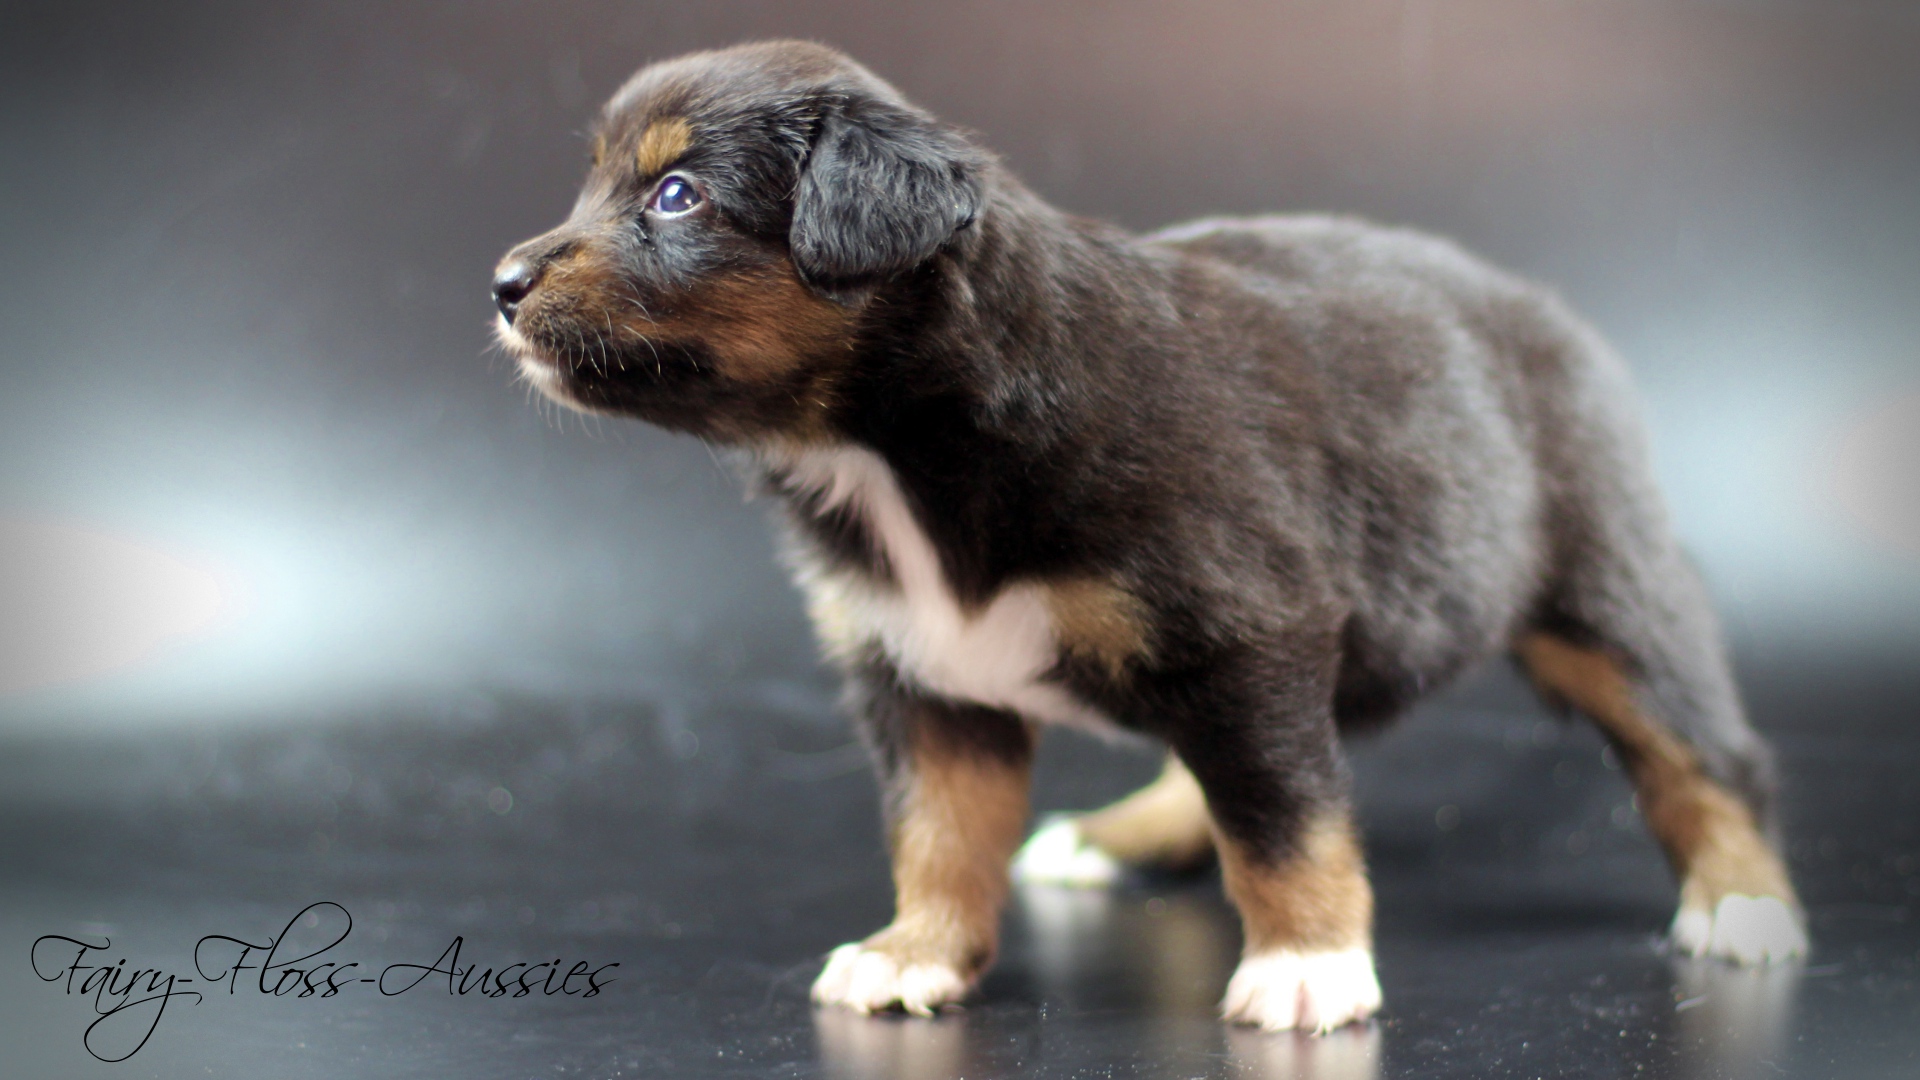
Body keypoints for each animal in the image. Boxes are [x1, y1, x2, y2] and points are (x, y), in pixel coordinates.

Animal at [490, 40, 1807, 1032]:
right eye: (597, 183)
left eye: (676, 196)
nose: (501, 283)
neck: (897, 446)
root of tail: (1545, 307)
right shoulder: (921, 675)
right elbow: (938, 833)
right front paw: (916, 953)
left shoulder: (1251, 628)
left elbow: (1283, 819)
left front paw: (1306, 967)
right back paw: (1112, 838)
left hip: (1609, 587)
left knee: (1706, 753)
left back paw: (1744, 907)